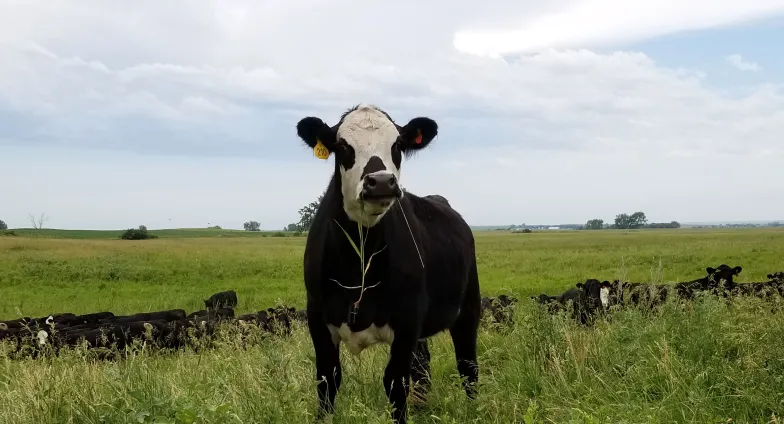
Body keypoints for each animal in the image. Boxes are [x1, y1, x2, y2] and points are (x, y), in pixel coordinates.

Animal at [292, 103, 480, 424]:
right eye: (343, 146)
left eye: (397, 145)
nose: (380, 181)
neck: (359, 261)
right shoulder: (316, 315)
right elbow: (327, 379)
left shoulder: (407, 319)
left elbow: (395, 383)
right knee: (423, 364)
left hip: (468, 310)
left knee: (468, 366)